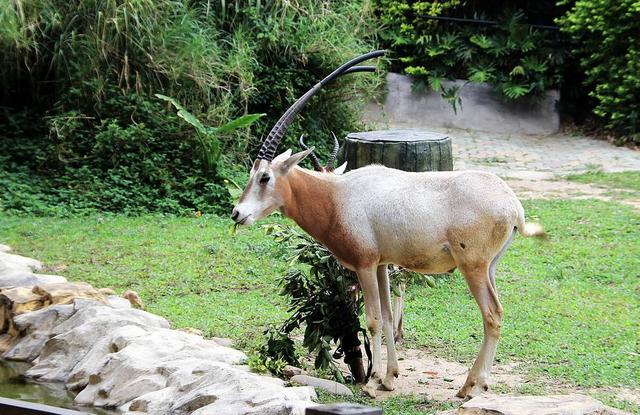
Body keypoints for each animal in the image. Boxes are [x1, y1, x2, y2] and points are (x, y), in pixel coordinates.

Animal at [232, 52, 544, 400]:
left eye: (264, 177)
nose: (237, 213)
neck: (337, 195)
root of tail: (513, 205)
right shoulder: (382, 265)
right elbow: (389, 314)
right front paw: (390, 377)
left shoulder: (365, 264)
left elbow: (372, 319)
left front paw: (370, 383)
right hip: (489, 266)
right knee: (498, 311)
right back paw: (479, 382)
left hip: (472, 266)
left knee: (491, 315)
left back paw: (469, 387)